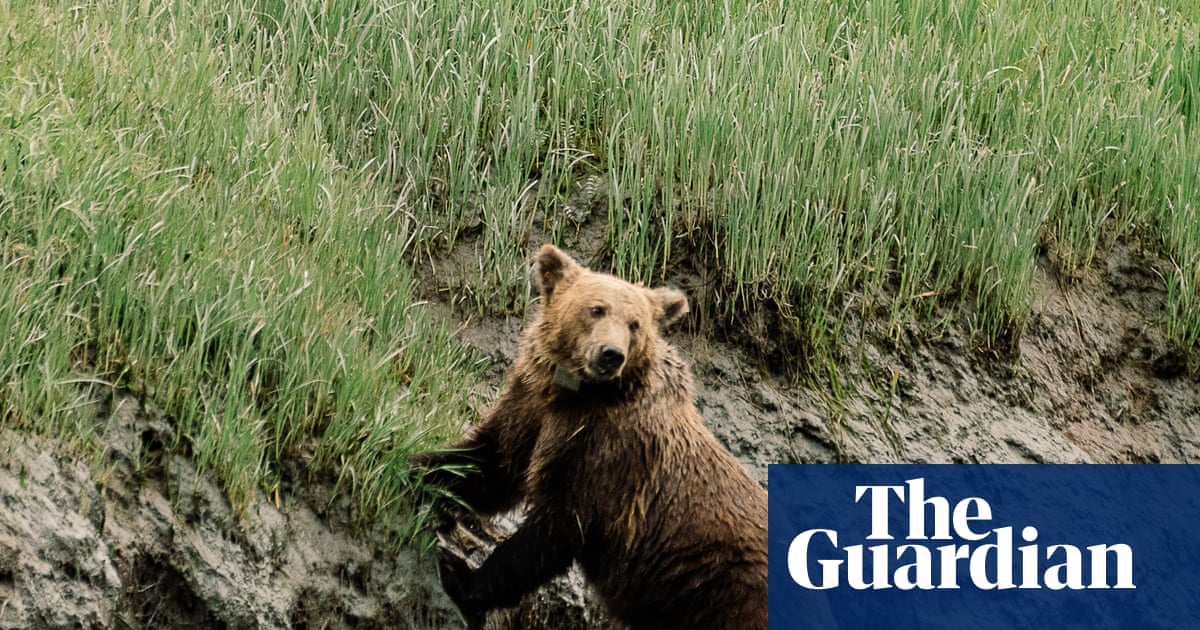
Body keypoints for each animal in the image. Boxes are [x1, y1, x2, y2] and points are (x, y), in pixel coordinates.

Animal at [414, 244, 768, 630]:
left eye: (634, 324)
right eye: (596, 308)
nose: (611, 354)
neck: (578, 395)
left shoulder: (610, 454)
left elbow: (559, 527)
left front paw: (460, 577)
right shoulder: (532, 409)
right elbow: (490, 464)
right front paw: (416, 465)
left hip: (724, 591)